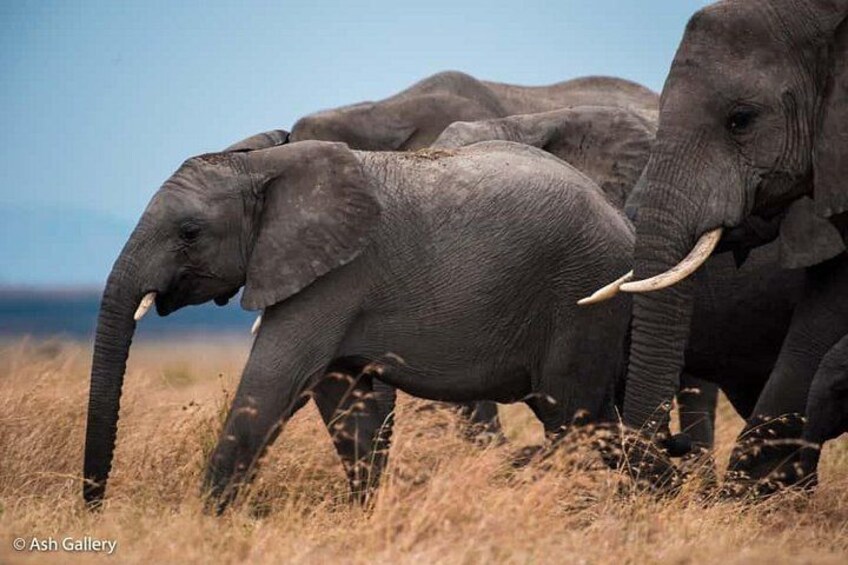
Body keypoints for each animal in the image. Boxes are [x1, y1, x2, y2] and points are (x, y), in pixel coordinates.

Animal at [82, 137, 636, 512]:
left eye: (190, 232)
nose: (95, 509)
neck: (262, 163)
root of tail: (623, 221)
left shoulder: (336, 277)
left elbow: (273, 383)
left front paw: (201, 524)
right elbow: (347, 402)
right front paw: (367, 514)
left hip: (582, 292)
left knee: (572, 418)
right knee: (597, 422)